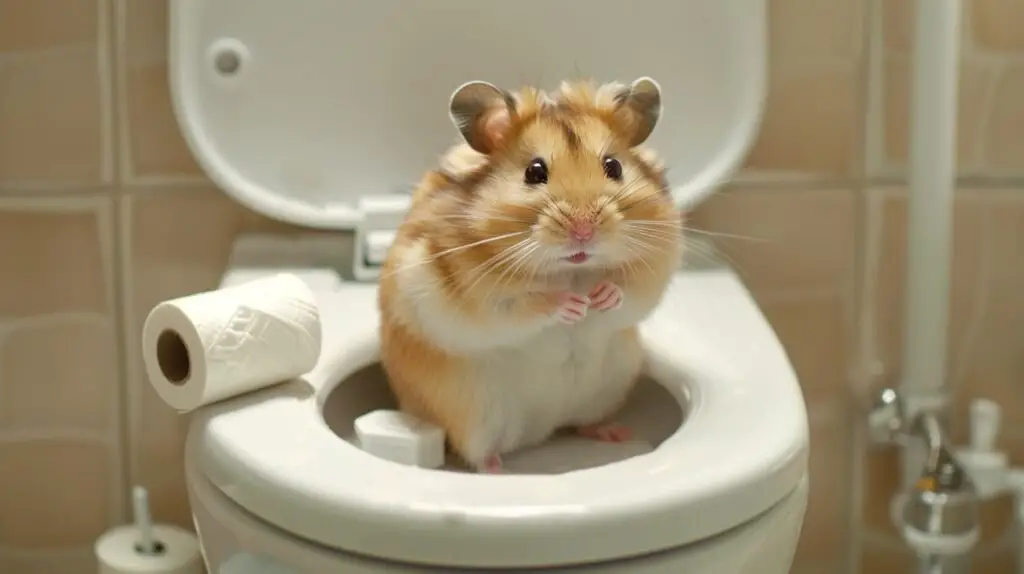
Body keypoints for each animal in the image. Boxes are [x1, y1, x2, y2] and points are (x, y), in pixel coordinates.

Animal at [374, 76, 679, 472]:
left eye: (613, 166)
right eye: (534, 172)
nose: (584, 232)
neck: (571, 270)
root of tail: (542, 431)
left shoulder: (654, 270)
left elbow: (629, 294)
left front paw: (600, 297)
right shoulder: (475, 301)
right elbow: (523, 306)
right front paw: (573, 305)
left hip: (607, 387)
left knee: (584, 423)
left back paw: (615, 432)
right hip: (474, 416)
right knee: (478, 454)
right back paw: (497, 470)